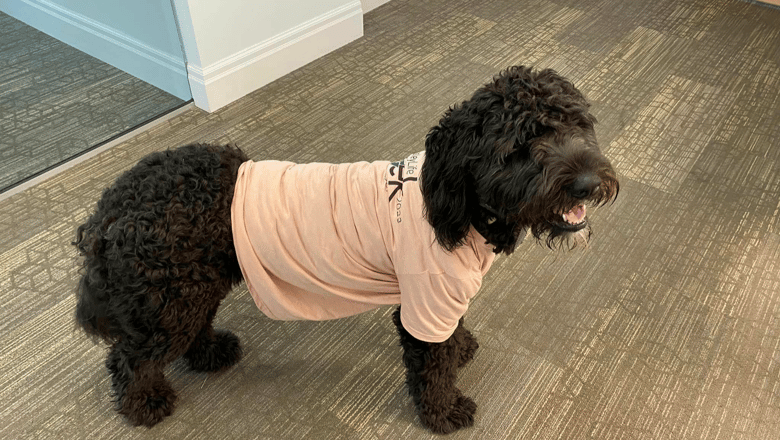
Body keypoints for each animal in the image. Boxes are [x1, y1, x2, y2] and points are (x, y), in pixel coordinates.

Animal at [74, 66, 620, 434]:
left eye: (576, 123)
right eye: (518, 149)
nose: (589, 183)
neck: (459, 206)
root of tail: (111, 206)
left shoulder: (440, 300)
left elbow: (451, 336)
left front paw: (461, 346)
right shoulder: (424, 304)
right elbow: (431, 368)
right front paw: (443, 412)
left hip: (189, 289)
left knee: (188, 332)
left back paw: (211, 353)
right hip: (169, 299)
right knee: (129, 358)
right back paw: (144, 404)